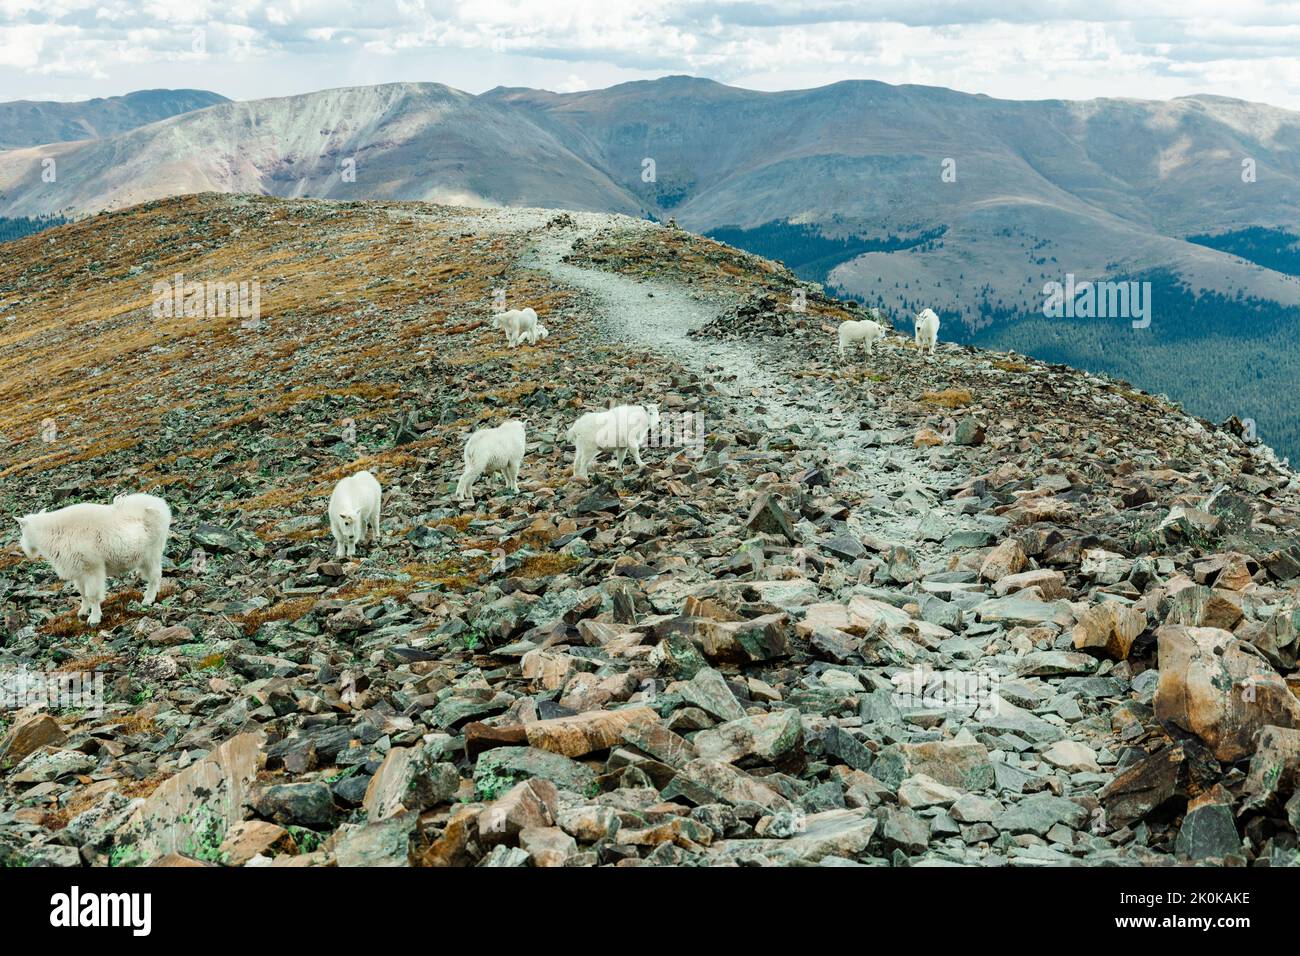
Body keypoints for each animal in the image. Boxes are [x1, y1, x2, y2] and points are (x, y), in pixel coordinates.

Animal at [15, 494, 171, 629]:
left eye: (21, 529)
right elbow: (83, 594)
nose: (25, 548)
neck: (55, 533)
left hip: (152, 553)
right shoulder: (78, 572)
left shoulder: (92, 568)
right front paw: (83, 612)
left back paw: (148, 599)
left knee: (155, 576)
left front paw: (94, 618)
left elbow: (92, 595)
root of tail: (162, 505)